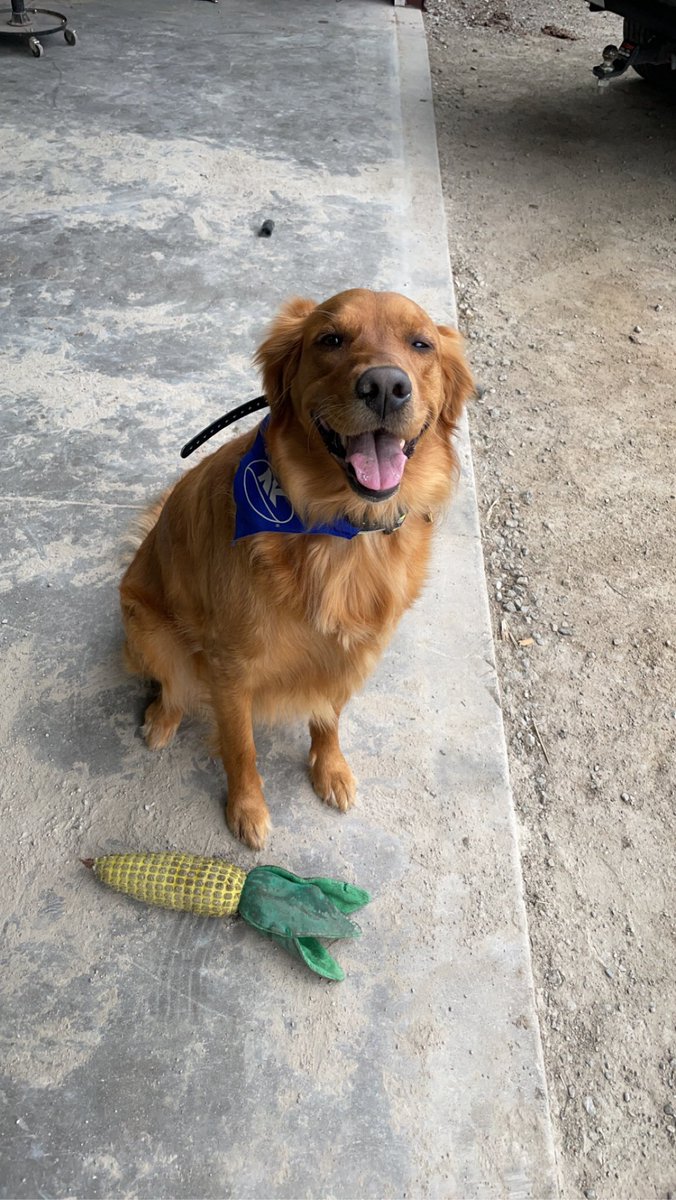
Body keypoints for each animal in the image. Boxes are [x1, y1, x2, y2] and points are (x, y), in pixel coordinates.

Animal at [120, 289, 470, 849]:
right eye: (330, 339)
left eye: (421, 344)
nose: (385, 387)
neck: (342, 529)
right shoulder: (229, 667)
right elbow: (241, 748)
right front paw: (247, 809)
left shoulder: (353, 653)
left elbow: (328, 718)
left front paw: (330, 770)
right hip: (149, 627)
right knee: (173, 686)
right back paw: (160, 721)